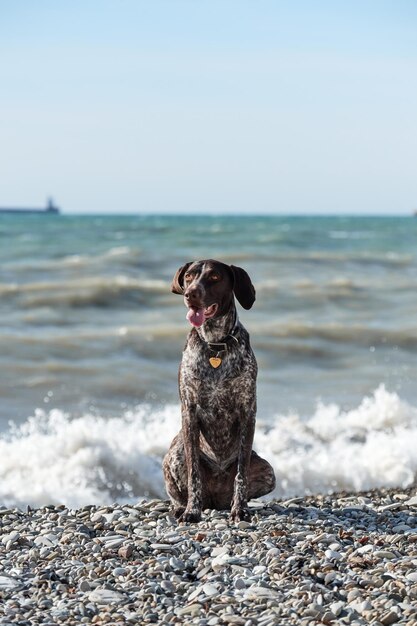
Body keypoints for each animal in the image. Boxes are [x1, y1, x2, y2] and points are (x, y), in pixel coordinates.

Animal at [163, 258, 276, 520]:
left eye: (215, 277)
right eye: (189, 276)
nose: (191, 294)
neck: (214, 344)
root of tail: (214, 499)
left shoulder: (247, 412)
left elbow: (241, 474)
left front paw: (240, 508)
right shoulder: (189, 411)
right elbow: (194, 474)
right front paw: (192, 511)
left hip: (268, 471)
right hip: (174, 454)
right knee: (179, 490)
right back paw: (181, 506)